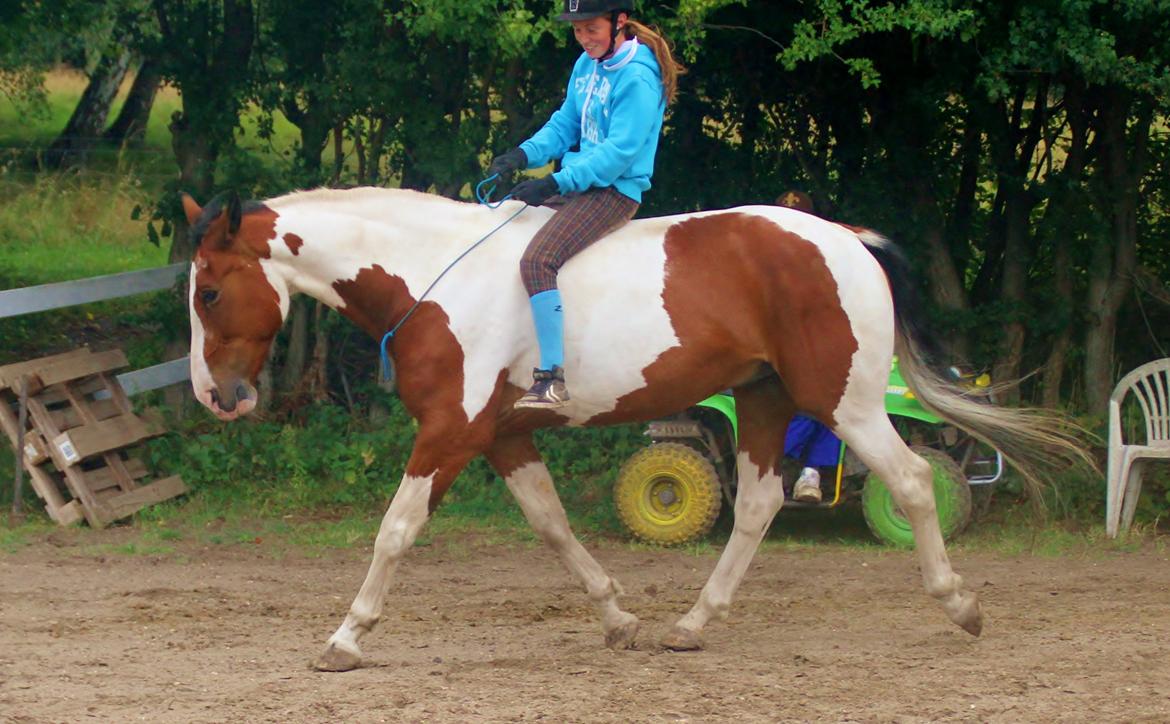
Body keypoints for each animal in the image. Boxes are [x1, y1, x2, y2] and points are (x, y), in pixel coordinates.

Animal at [182, 188, 1085, 673]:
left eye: (210, 293)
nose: (215, 396)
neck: (432, 278)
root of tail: (844, 239)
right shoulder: (502, 435)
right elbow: (551, 522)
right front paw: (617, 619)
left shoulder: (450, 431)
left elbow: (396, 529)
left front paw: (346, 636)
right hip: (765, 402)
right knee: (758, 505)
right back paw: (693, 624)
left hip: (846, 403)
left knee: (912, 481)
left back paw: (960, 606)